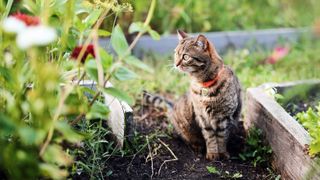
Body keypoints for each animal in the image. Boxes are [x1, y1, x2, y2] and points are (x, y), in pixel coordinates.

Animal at [144, 31, 241, 160]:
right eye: (176, 53)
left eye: (185, 56)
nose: (175, 64)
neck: (205, 85)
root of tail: (173, 107)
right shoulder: (203, 117)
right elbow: (210, 137)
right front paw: (212, 153)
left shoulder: (225, 117)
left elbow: (222, 137)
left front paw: (222, 153)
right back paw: (197, 146)